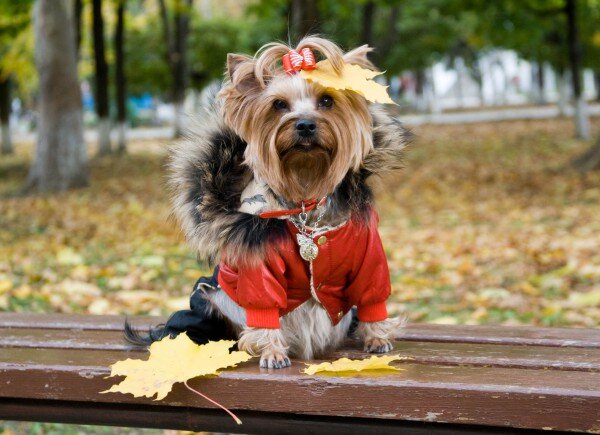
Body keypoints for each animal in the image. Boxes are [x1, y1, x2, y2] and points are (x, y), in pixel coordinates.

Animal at [124, 38, 410, 372]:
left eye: (327, 100)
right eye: (279, 105)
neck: (305, 196)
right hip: (211, 300)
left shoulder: (367, 251)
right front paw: (272, 352)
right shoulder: (257, 258)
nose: (305, 125)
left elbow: (371, 292)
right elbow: (264, 305)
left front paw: (377, 338)